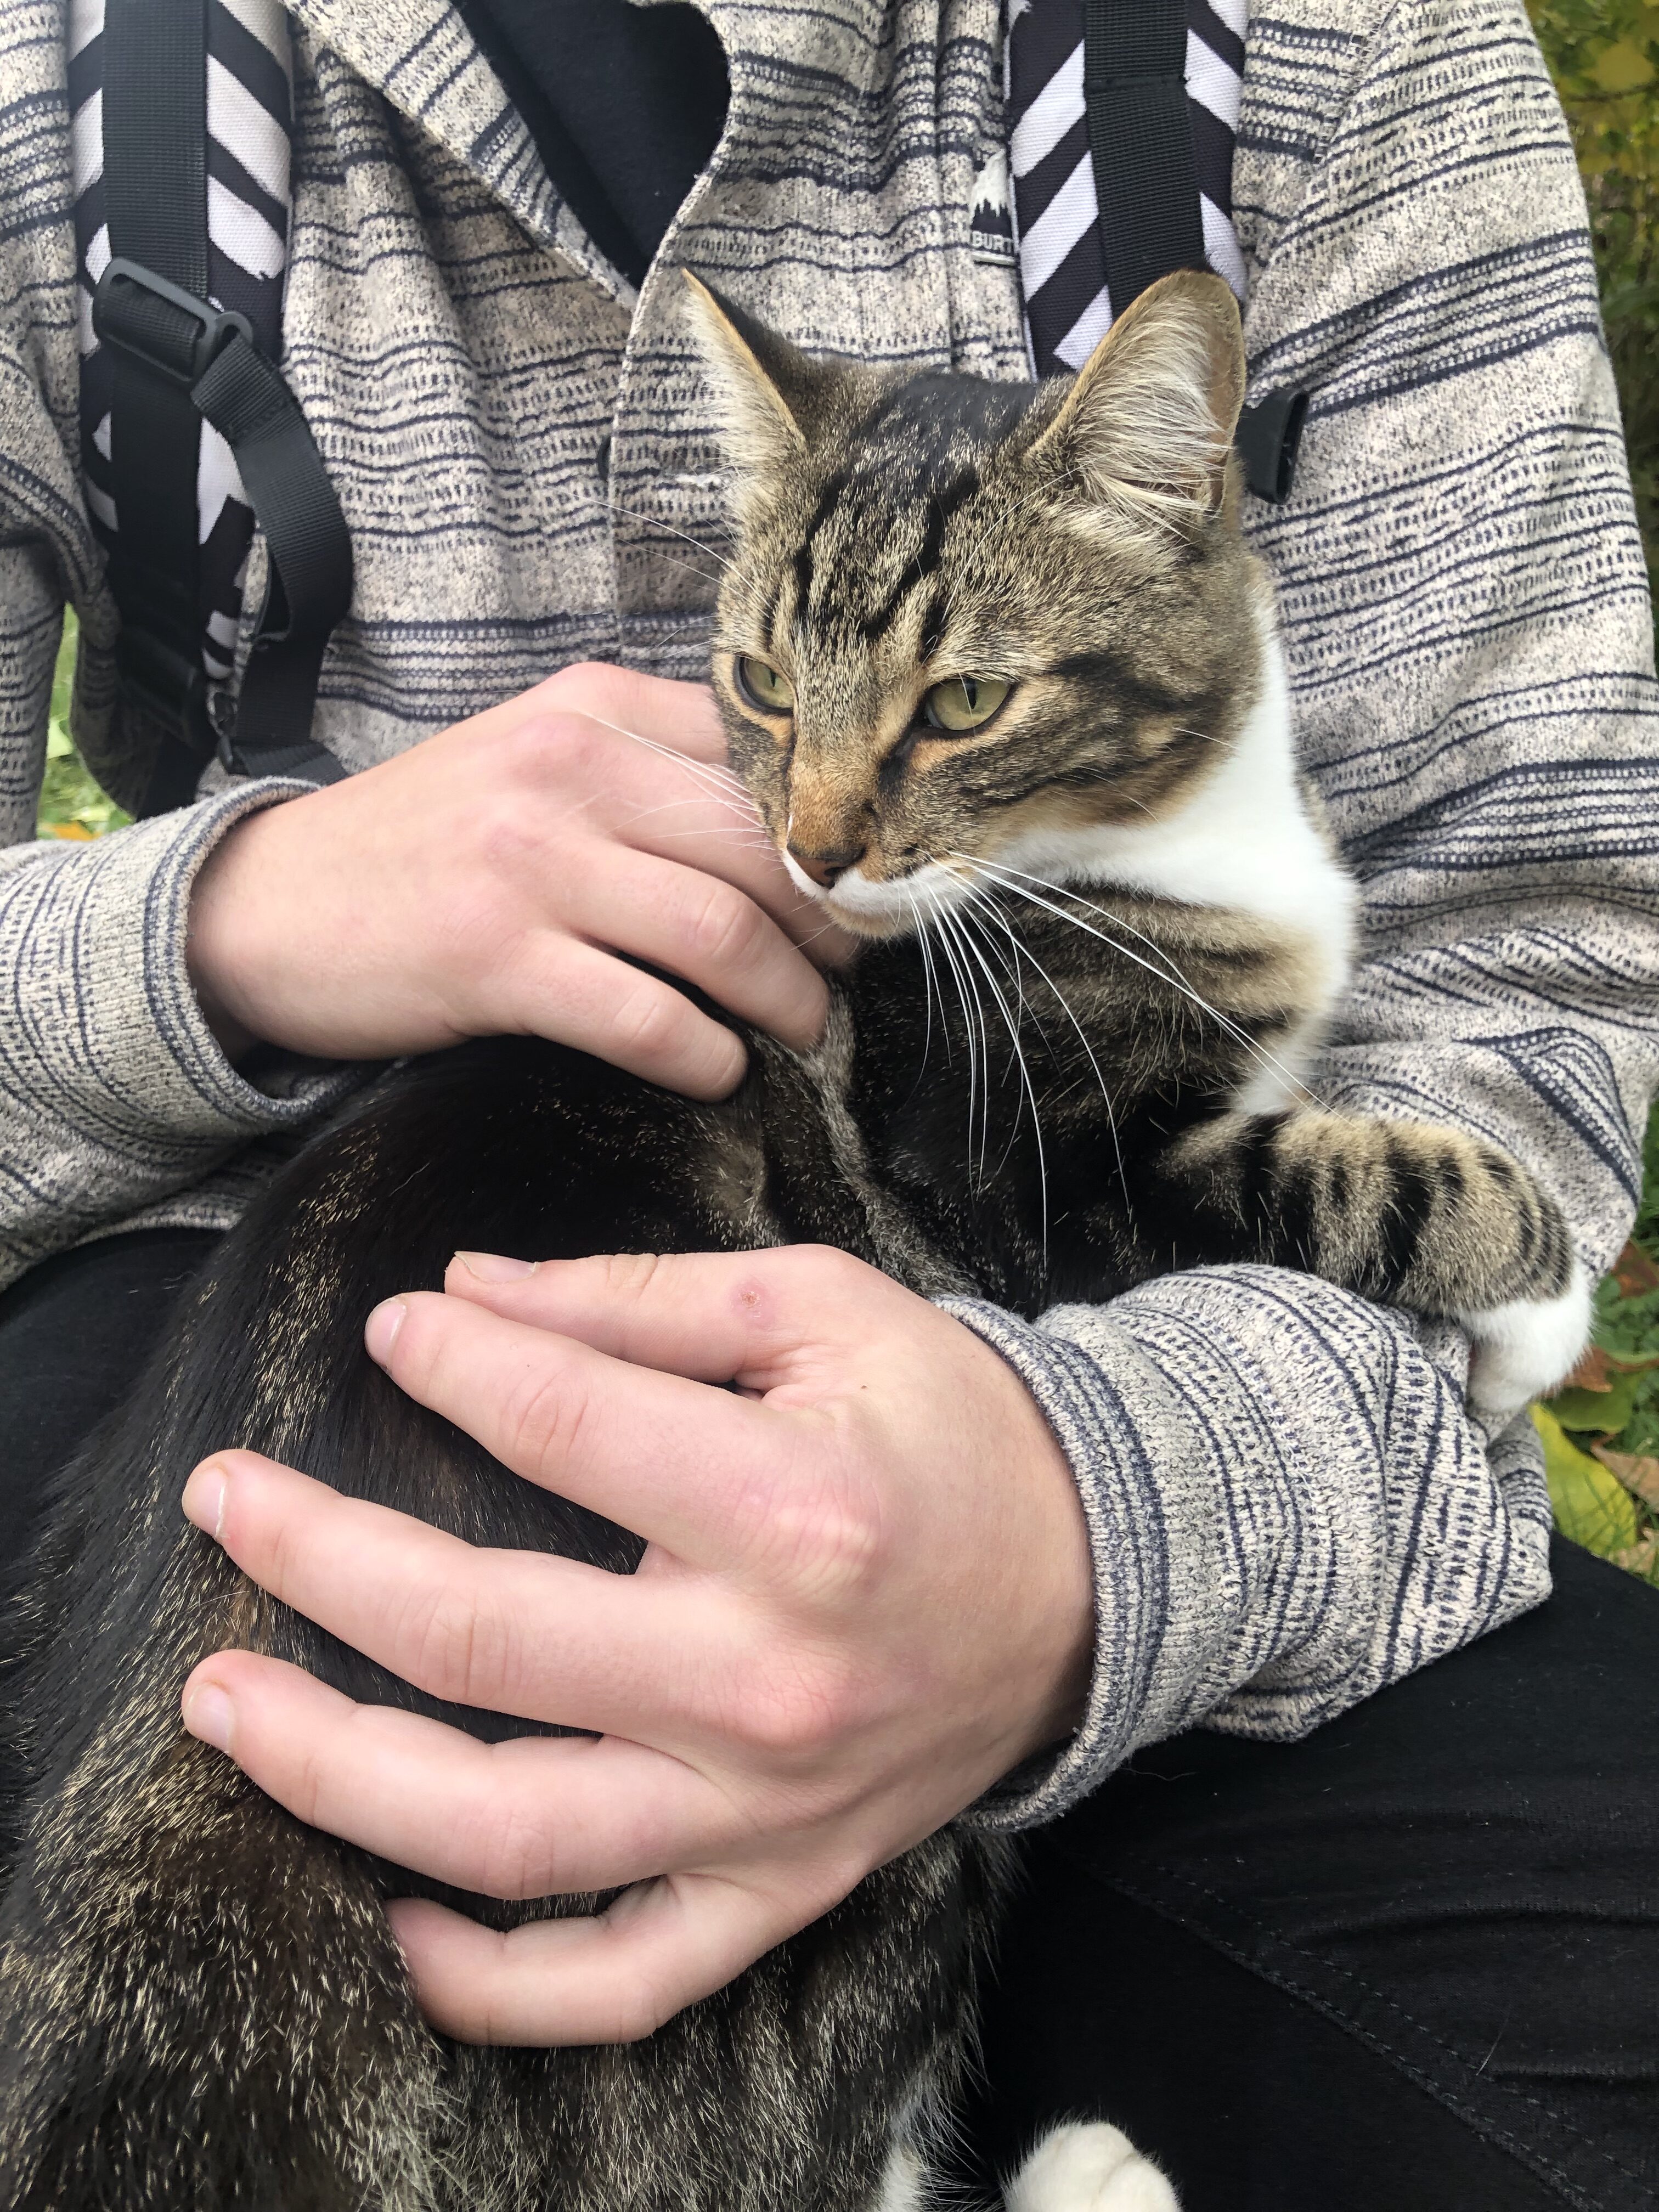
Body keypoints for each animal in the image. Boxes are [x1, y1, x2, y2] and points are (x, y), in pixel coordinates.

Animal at [0, 276, 1583, 2212]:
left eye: (966, 700)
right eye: (761, 681)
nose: (816, 856)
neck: (1153, 841)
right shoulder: (1033, 1185)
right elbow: (1372, 1173)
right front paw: (1542, 1306)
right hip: (870, 1882)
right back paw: (1097, 2172)